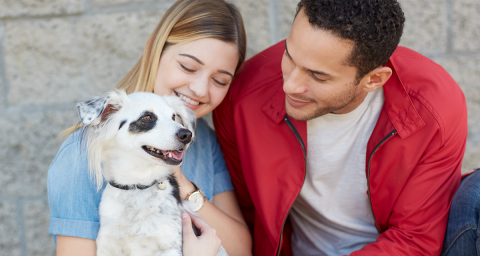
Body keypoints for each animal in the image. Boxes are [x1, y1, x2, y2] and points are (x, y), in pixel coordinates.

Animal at [78, 90, 228, 256]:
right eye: (147, 117)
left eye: (173, 117)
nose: (187, 135)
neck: (137, 186)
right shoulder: (107, 246)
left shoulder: (170, 246)